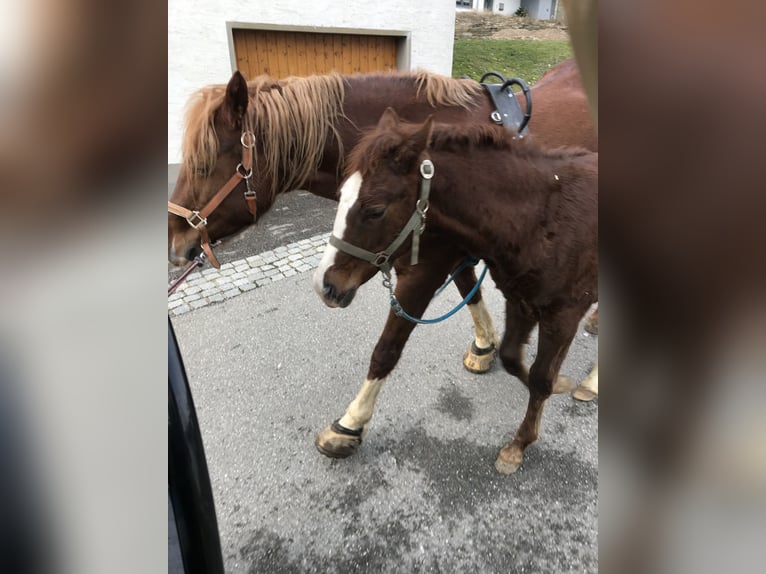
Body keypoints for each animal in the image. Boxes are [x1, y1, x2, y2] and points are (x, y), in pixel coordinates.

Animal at [168, 58, 596, 418]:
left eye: (202, 165)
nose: (176, 243)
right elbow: (469, 290)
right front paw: (484, 344)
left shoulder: (425, 268)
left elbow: (389, 346)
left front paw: (351, 422)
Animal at [316, 110, 600, 474]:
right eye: (340, 195)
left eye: (375, 210)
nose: (327, 286)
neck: (543, 219)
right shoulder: (518, 301)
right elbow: (512, 358)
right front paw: (557, 385)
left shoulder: (564, 314)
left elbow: (540, 378)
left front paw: (519, 445)